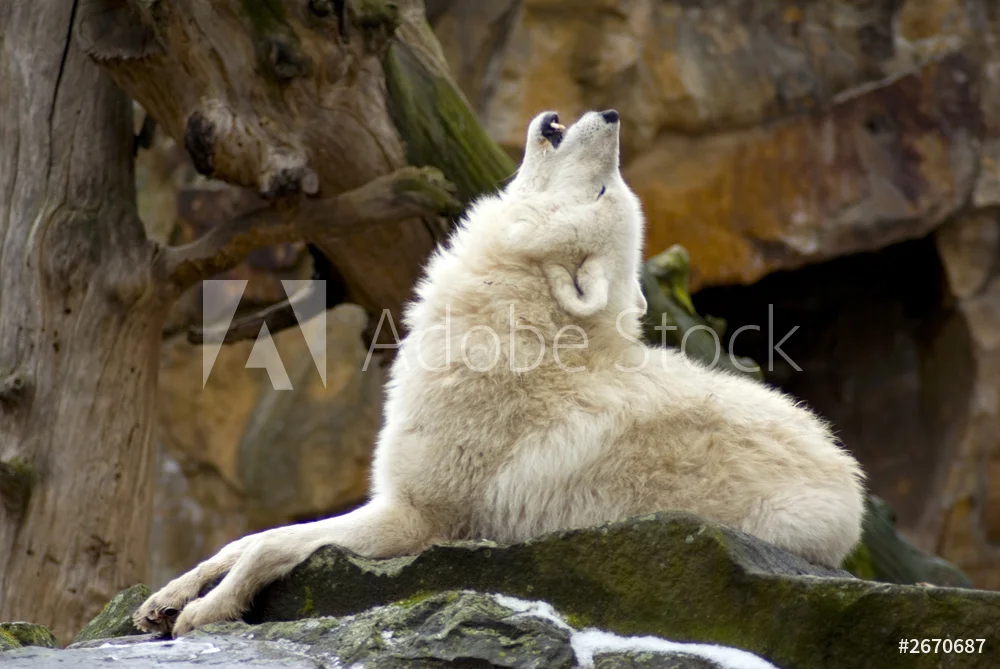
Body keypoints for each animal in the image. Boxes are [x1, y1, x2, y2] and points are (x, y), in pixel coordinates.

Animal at [136, 110, 865, 637]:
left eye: (605, 186)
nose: (612, 113)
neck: (513, 320)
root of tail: (851, 482)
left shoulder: (416, 518)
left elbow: (271, 546)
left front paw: (204, 612)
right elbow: (247, 536)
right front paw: (162, 600)